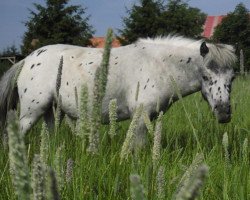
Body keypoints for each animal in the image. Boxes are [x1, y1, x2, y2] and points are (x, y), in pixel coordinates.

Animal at [0, 35, 236, 134]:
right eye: (206, 76)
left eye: (232, 78)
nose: (224, 113)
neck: (158, 65)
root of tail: (26, 60)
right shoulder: (140, 117)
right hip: (31, 113)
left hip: (50, 111)